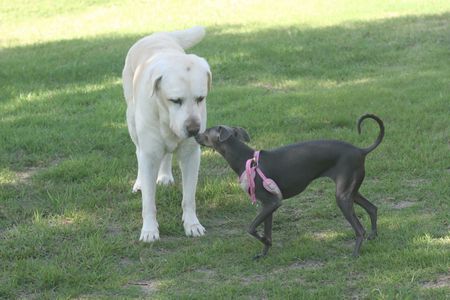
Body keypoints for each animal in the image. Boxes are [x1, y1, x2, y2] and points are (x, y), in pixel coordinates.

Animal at [122, 27, 212, 243]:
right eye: (175, 100)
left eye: (200, 98)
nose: (194, 129)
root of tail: (158, 34)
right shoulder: (149, 155)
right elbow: (148, 202)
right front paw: (149, 230)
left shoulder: (191, 156)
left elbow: (189, 198)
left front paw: (192, 225)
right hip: (132, 122)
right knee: (138, 152)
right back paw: (139, 182)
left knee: (167, 155)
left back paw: (164, 176)